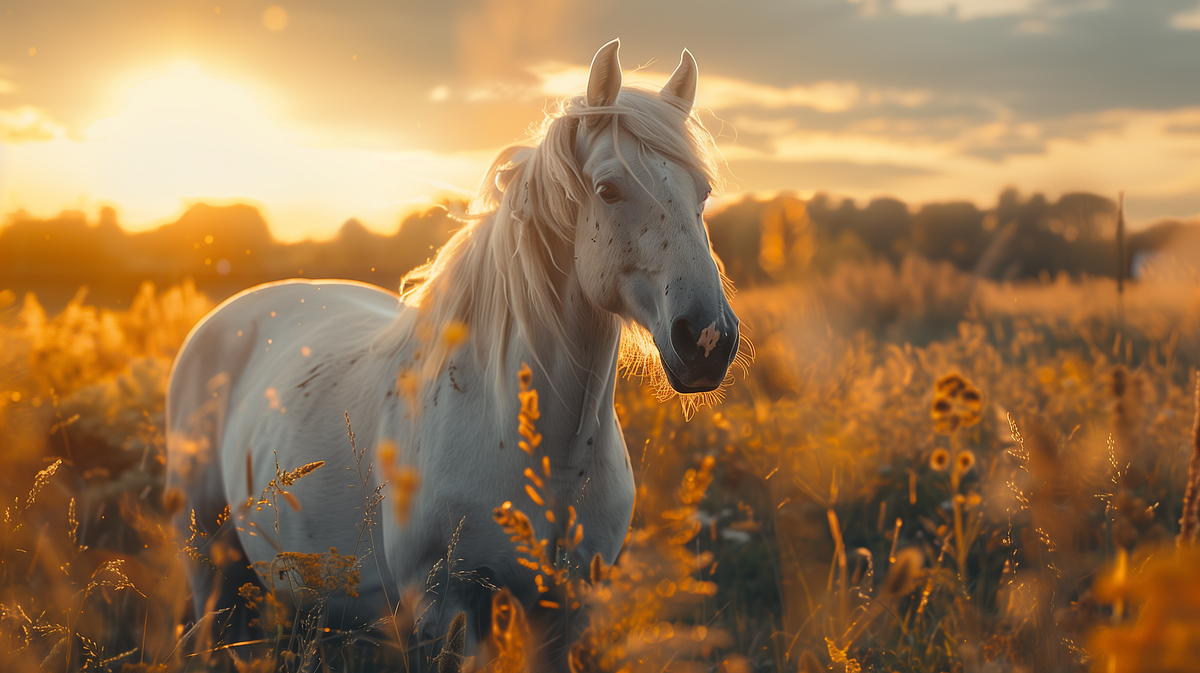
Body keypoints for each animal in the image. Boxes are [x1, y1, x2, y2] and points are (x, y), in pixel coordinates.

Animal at [165, 38, 741, 665]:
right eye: (609, 189)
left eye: (704, 193)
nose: (707, 340)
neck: (545, 452)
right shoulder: (442, 610)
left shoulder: (562, 607)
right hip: (208, 559)